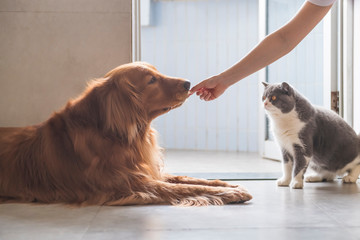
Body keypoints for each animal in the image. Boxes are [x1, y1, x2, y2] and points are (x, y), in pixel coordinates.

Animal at [0, 62, 252, 206]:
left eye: (157, 72)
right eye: (152, 80)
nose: (188, 83)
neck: (112, 133)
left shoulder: (148, 171)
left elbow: (188, 179)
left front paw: (228, 185)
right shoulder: (134, 184)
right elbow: (185, 187)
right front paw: (229, 192)